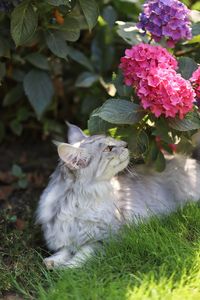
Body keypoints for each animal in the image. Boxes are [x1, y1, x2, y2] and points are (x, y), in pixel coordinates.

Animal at [36, 123, 200, 268]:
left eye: (114, 141)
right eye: (109, 148)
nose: (126, 144)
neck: (77, 202)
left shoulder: (107, 239)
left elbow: (83, 253)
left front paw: (68, 267)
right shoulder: (62, 236)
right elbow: (63, 251)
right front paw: (52, 262)